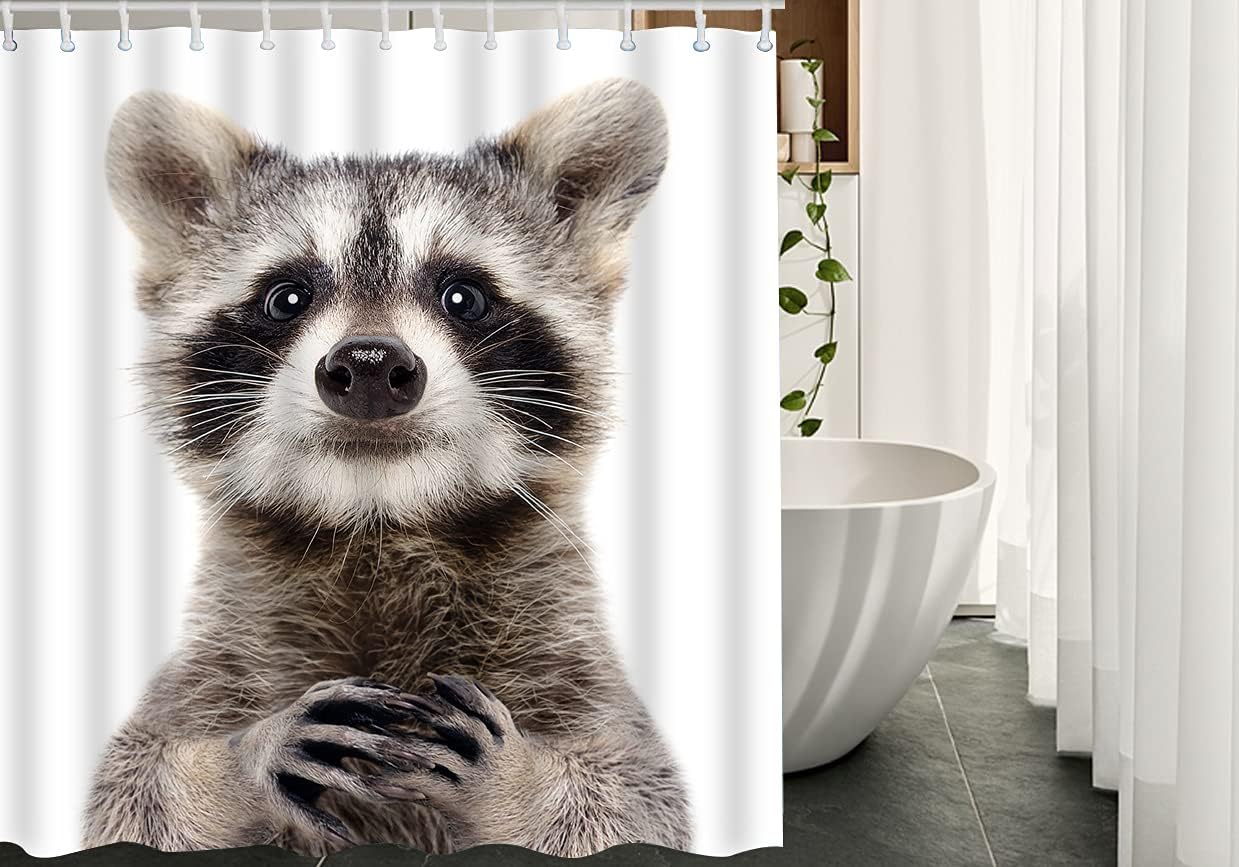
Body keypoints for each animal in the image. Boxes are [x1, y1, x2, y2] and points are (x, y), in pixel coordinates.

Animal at [81, 79, 689, 858]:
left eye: (463, 295)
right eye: (287, 297)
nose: (370, 367)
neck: (378, 522)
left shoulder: (575, 668)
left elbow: (640, 803)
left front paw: (519, 782)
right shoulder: (213, 666)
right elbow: (130, 791)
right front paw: (234, 764)